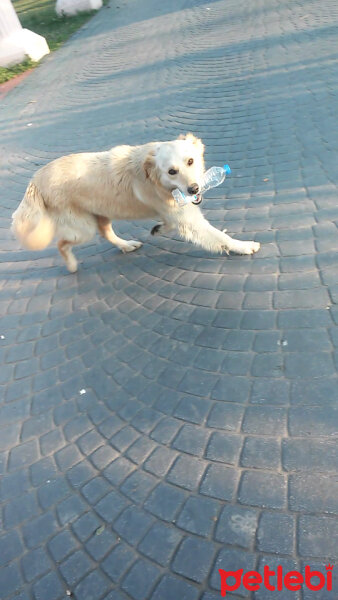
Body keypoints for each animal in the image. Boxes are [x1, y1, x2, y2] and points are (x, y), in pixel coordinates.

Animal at [10, 135, 258, 274]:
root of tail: (35, 179)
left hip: (102, 213)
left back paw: (126, 245)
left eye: (191, 161)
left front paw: (159, 228)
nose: (194, 189)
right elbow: (221, 237)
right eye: (172, 171)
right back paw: (71, 265)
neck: (155, 178)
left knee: (106, 234)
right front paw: (244, 246)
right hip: (83, 228)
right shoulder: (190, 220)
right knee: (62, 244)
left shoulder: (176, 212)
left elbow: (168, 222)